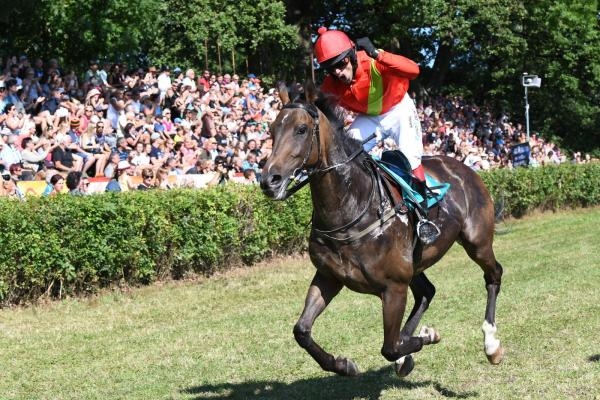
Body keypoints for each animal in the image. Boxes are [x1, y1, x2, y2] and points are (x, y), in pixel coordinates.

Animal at [260, 82, 504, 378]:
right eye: (272, 130)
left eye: (301, 129)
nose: (269, 180)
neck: (350, 207)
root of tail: (465, 168)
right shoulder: (328, 277)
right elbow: (302, 331)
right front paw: (343, 365)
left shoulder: (394, 287)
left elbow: (389, 347)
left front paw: (428, 336)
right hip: (416, 264)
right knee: (426, 292)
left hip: (477, 242)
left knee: (493, 275)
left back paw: (491, 344)